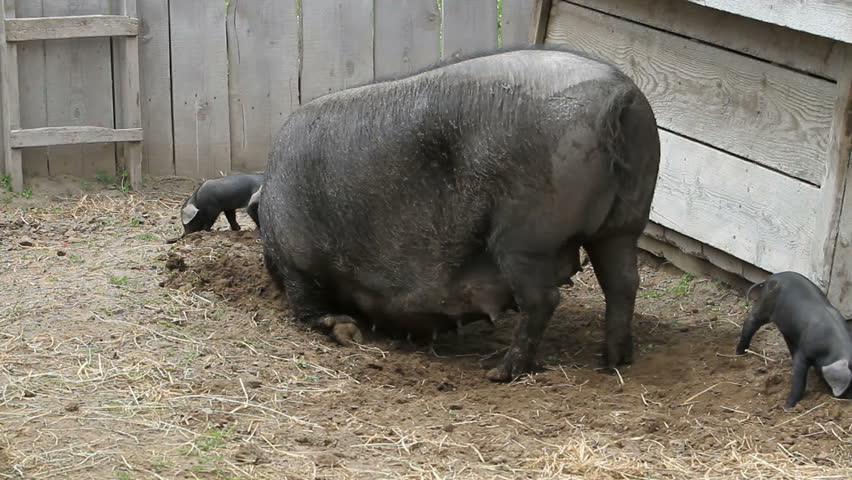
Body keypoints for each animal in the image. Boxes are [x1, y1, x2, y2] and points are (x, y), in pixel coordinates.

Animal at [259, 45, 661, 382]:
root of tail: (617, 93)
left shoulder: (297, 261)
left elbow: (307, 305)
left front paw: (347, 332)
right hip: (624, 223)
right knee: (623, 283)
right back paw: (614, 361)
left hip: (525, 238)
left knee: (543, 300)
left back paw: (500, 373)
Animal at [736, 271, 852, 408]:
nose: (848, 398)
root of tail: (771, 277)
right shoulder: (804, 352)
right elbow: (798, 379)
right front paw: (787, 407)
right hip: (765, 303)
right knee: (750, 322)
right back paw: (739, 353)